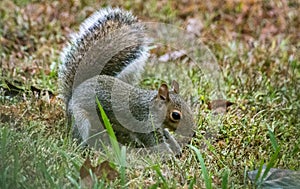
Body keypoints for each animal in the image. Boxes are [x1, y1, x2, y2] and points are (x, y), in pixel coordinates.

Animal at [58, 7, 195, 155]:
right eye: (175, 115)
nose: (192, 133)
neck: (150, 107)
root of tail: (72, 97)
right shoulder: (144, 124)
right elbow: (154, 142)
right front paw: (168, 154)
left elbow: (167, 136)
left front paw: (177, 148)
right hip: (81, 119)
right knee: (77, 137)